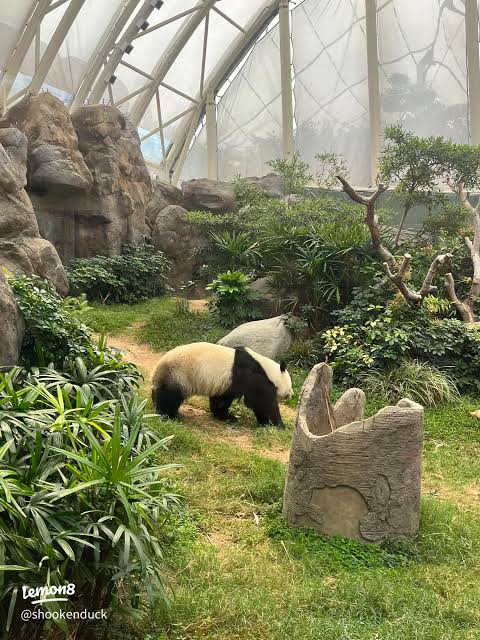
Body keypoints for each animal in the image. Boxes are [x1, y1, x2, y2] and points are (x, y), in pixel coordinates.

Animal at [151, 342, 293, 427]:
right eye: (290, 386)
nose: (291, 394)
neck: (268, 370)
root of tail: (158, 367)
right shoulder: (251, 376)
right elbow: (261, 402)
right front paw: (277, 424)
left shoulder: (227, 384)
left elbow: (221, 399)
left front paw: (224, 416)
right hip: (179, 375)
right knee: (169, 398)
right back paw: (167, 415)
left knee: (159, 394)